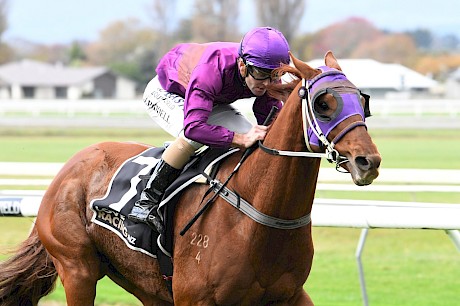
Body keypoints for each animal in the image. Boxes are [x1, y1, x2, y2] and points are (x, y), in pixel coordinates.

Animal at [0, 51, 380, 304]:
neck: (260, 216)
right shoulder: (194, 298)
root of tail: (68, 168)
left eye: (363, 102)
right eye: (323, 104)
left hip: (145, 283)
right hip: (77, 268)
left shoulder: (289, 295)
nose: (369, 161)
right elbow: (194, 125)